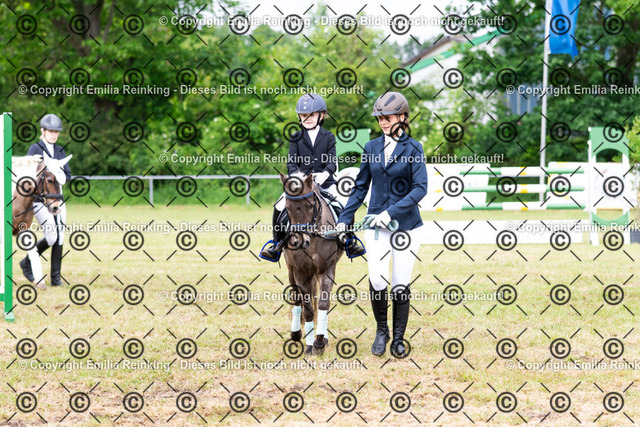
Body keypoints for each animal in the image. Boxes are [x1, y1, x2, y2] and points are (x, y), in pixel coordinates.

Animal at [279, 172, 344, 355]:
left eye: (310, 205)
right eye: (287, 207)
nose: (300, 241)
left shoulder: (327, 270)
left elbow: (323, 304)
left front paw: (320, 342)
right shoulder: (300, 272)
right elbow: (307, 308)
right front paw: (309, 346)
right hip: (291, 270)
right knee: (296, 298)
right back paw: (295, 334)